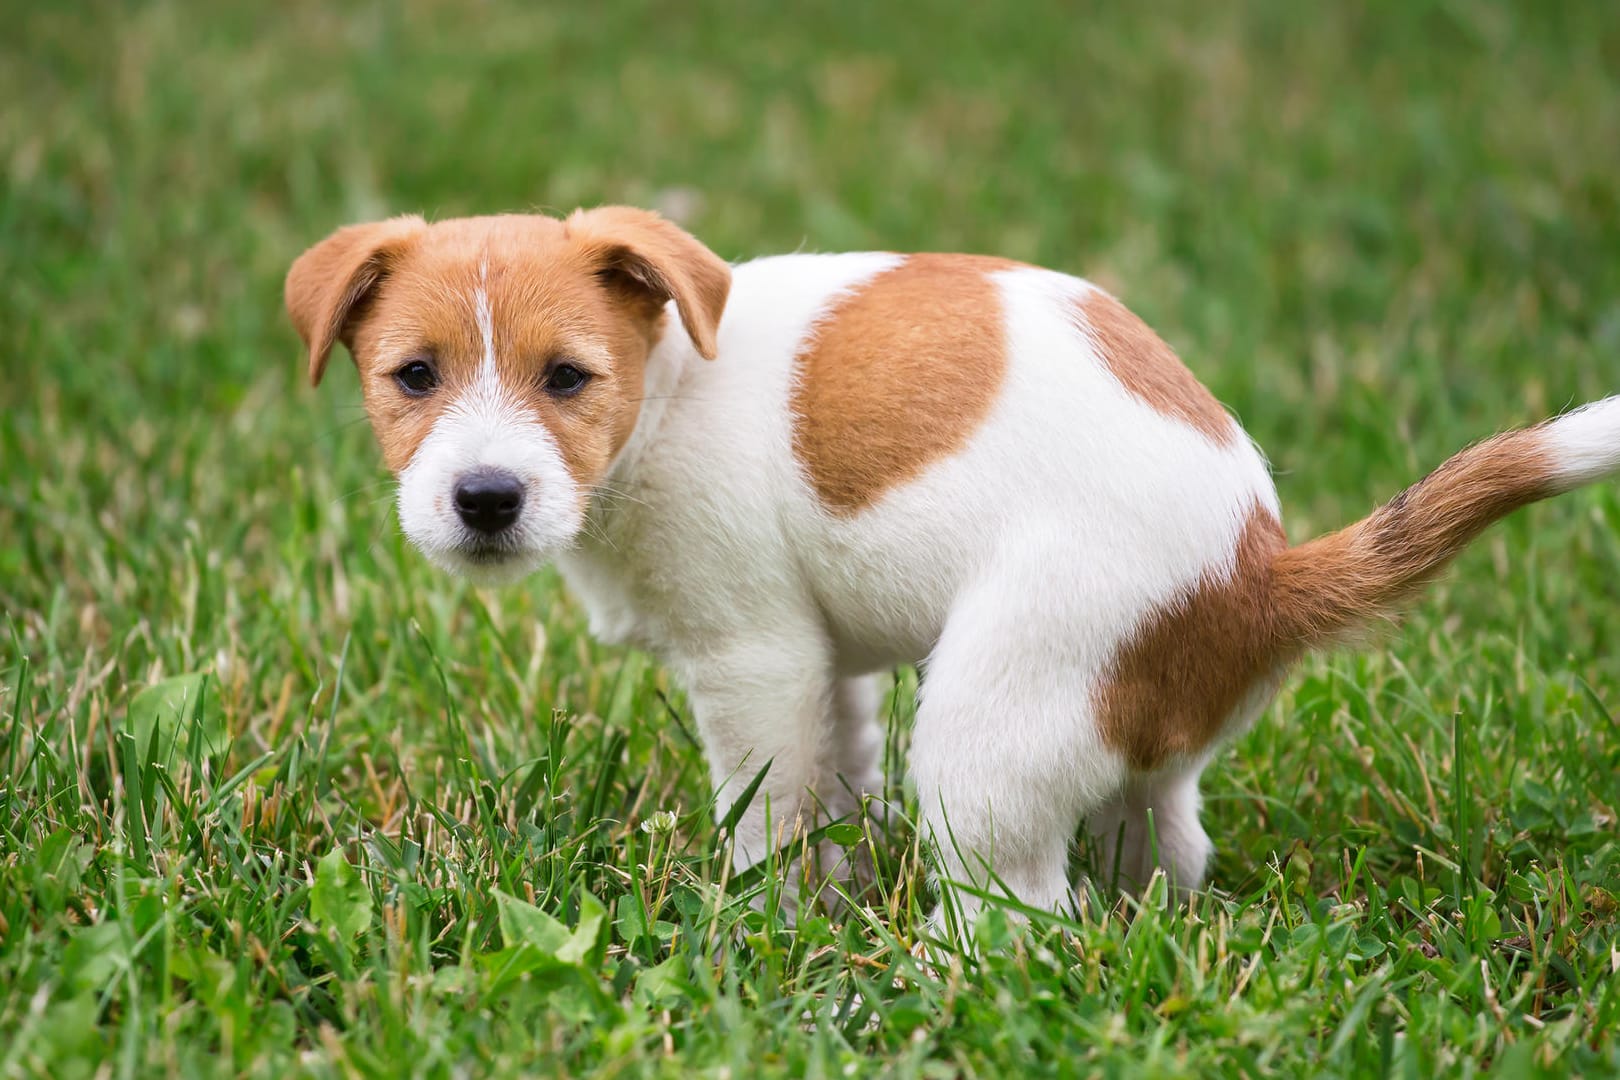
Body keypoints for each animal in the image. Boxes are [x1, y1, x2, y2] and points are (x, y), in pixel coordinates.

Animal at [288, 208, 1620, 932]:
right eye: (413, 376)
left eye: (568, 378)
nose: (486, 499)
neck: (667, 388)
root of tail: (1258, 571)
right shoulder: (823, 667)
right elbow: (834, 773)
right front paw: (831, 884)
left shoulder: (753, 659)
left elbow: (768, 812)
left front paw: (773, 925)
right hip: (1128, 734)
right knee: (1158, 849)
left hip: (992, 725)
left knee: (1020, 913)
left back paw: (938, 973)